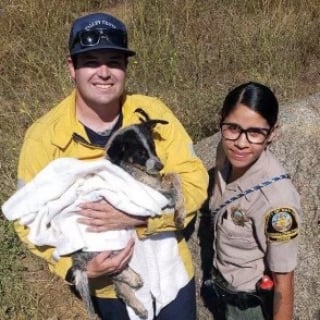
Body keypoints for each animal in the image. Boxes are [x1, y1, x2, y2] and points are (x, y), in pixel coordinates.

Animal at [72, 109, 185, 318]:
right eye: (140, 153)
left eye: (153, 147)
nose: (159, 166)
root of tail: (76, 259)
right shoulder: (151, 192)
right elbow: (173, 188)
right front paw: (178, 212)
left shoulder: (156, 183)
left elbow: (175, 177)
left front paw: (180, 214)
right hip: (109, 245)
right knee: (114, 268)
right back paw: (134, 279)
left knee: (118, 285)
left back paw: (138, 306)